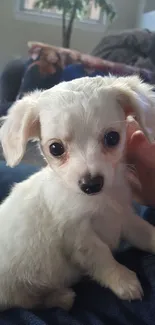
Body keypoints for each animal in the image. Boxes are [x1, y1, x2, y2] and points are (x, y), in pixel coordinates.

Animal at [0, 75, 155, 308]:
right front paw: (123, 280)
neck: (100, 201)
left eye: (112, 138)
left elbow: (144, 232)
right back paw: (61, 297)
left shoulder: (123, 216)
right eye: (55, 148)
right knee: (28, 301)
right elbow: (103, 257)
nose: (91, 184)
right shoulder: (79, 238)